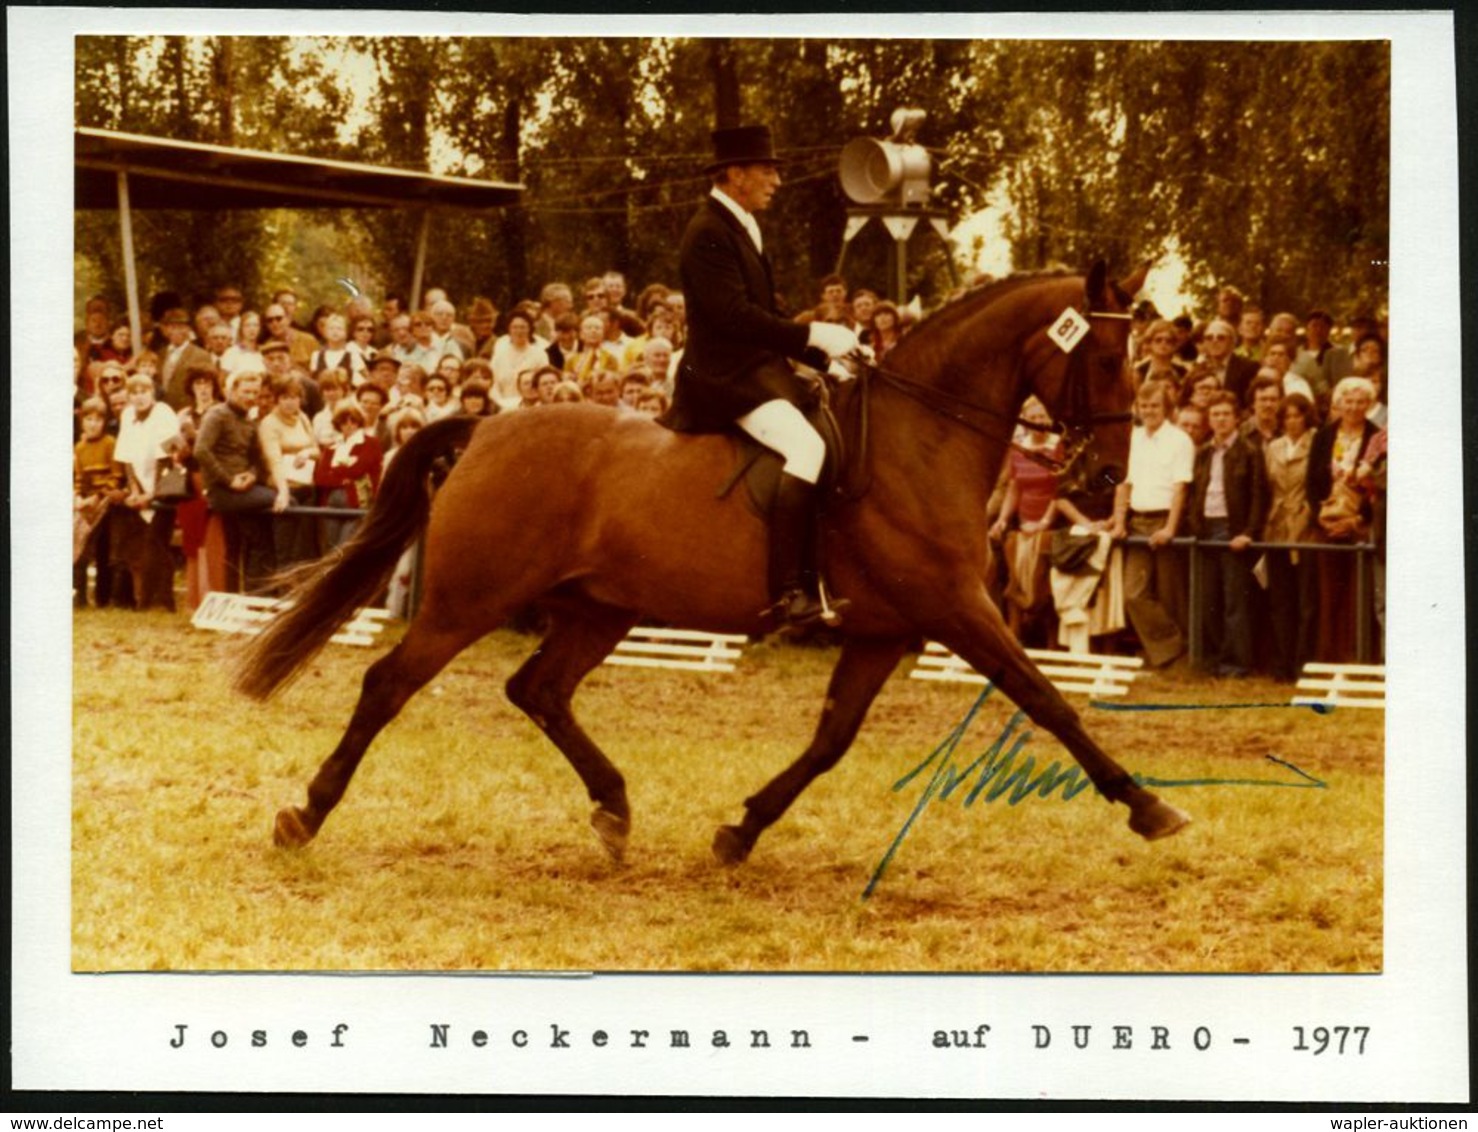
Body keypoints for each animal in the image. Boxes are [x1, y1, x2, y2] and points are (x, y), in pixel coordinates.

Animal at [242, 266, 1188, 863]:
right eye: (1107, 358)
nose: (1106, 479)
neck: (923, 438)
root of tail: (487, 427)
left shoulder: (886, 631)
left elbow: (832, 740)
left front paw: (742, 830)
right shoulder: (957, 609)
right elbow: (1049, 700)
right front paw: (1148, 805)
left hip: (599, 607)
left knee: (538, 689)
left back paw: (614, 808)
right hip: (467, 600)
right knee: (389, 685)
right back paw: (304, 815)